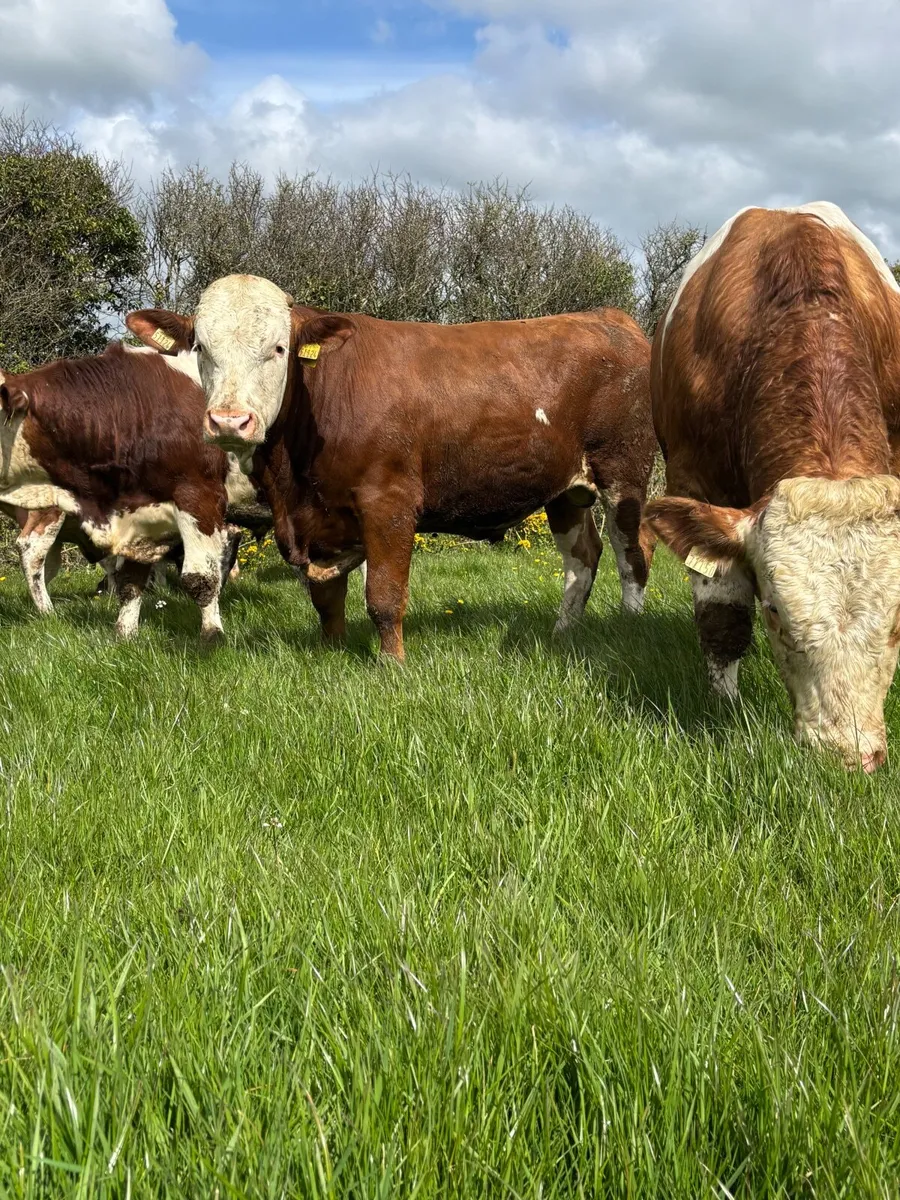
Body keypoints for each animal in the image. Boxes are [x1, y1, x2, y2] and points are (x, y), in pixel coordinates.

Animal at [0, 341, 259, 640]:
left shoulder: (198, 497)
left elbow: (200, 575)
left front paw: (211, 633)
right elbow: (135, 575)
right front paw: (126, 632)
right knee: (35, 552)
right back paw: (47, 611)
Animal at [127, 278, 656, 661]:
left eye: (278, 348)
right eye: (201, 347)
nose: (229, 420)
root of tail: (608, 318)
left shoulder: (389, 502)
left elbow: (383, 594)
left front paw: (392, 664)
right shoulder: (319, 517)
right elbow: (326, 594)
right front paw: (331, 650)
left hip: (624, 470)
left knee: (631, 550)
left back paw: (630, 626)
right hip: (566, 491)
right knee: (582, 557)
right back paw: (563, 631)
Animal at [643, 201, 900, 772]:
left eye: (899, 621)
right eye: (777, 614)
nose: (847, 756)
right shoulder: (698, 480)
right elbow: (722, 620)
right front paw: (723, 707)